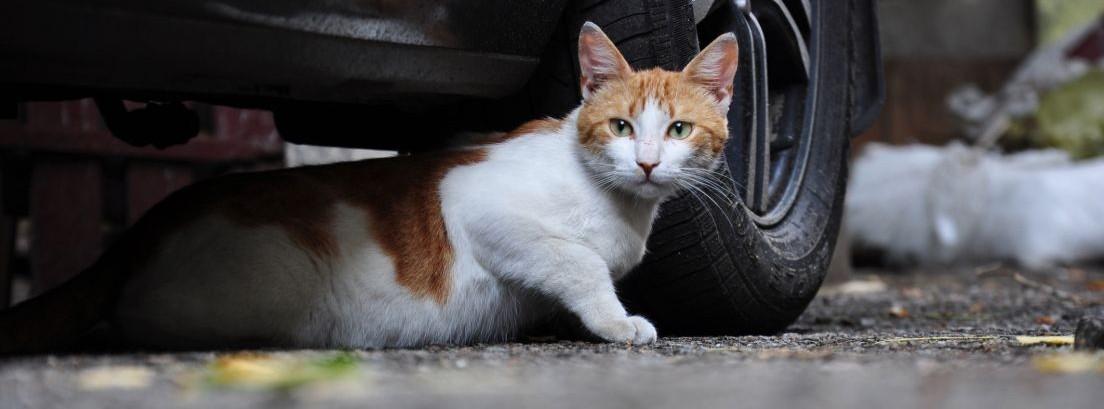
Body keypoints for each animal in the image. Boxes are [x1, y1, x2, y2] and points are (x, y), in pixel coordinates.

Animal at [2, 23, 741, 351]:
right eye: (620, 125)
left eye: (677, 129)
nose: (646, 163)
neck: (619, 205)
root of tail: (143, 228)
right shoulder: (480, 203)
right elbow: (579, 262)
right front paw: (617, 321)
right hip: (266, 292)